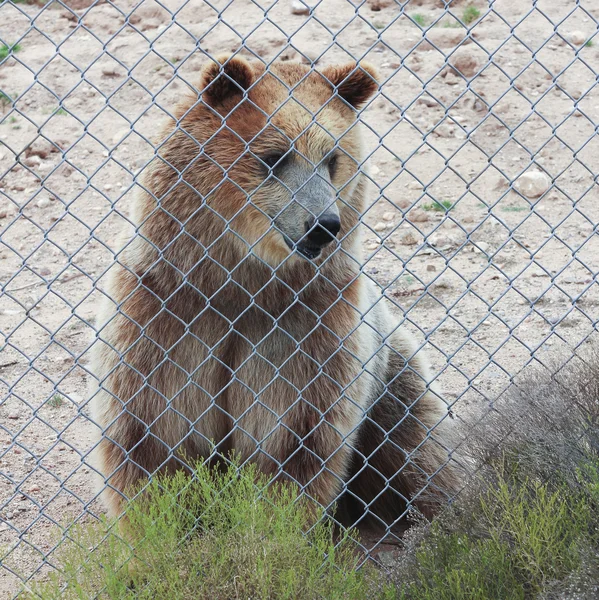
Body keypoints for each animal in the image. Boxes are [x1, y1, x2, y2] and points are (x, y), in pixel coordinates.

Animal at [89, 54, 460, 528]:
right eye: (274, 156)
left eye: (331, 158)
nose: (323, 224)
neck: (241, 282)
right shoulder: (164, 313)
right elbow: (151, 438)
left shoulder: (308, 326)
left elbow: (293, 444)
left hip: (394, 380)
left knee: (417, 449)